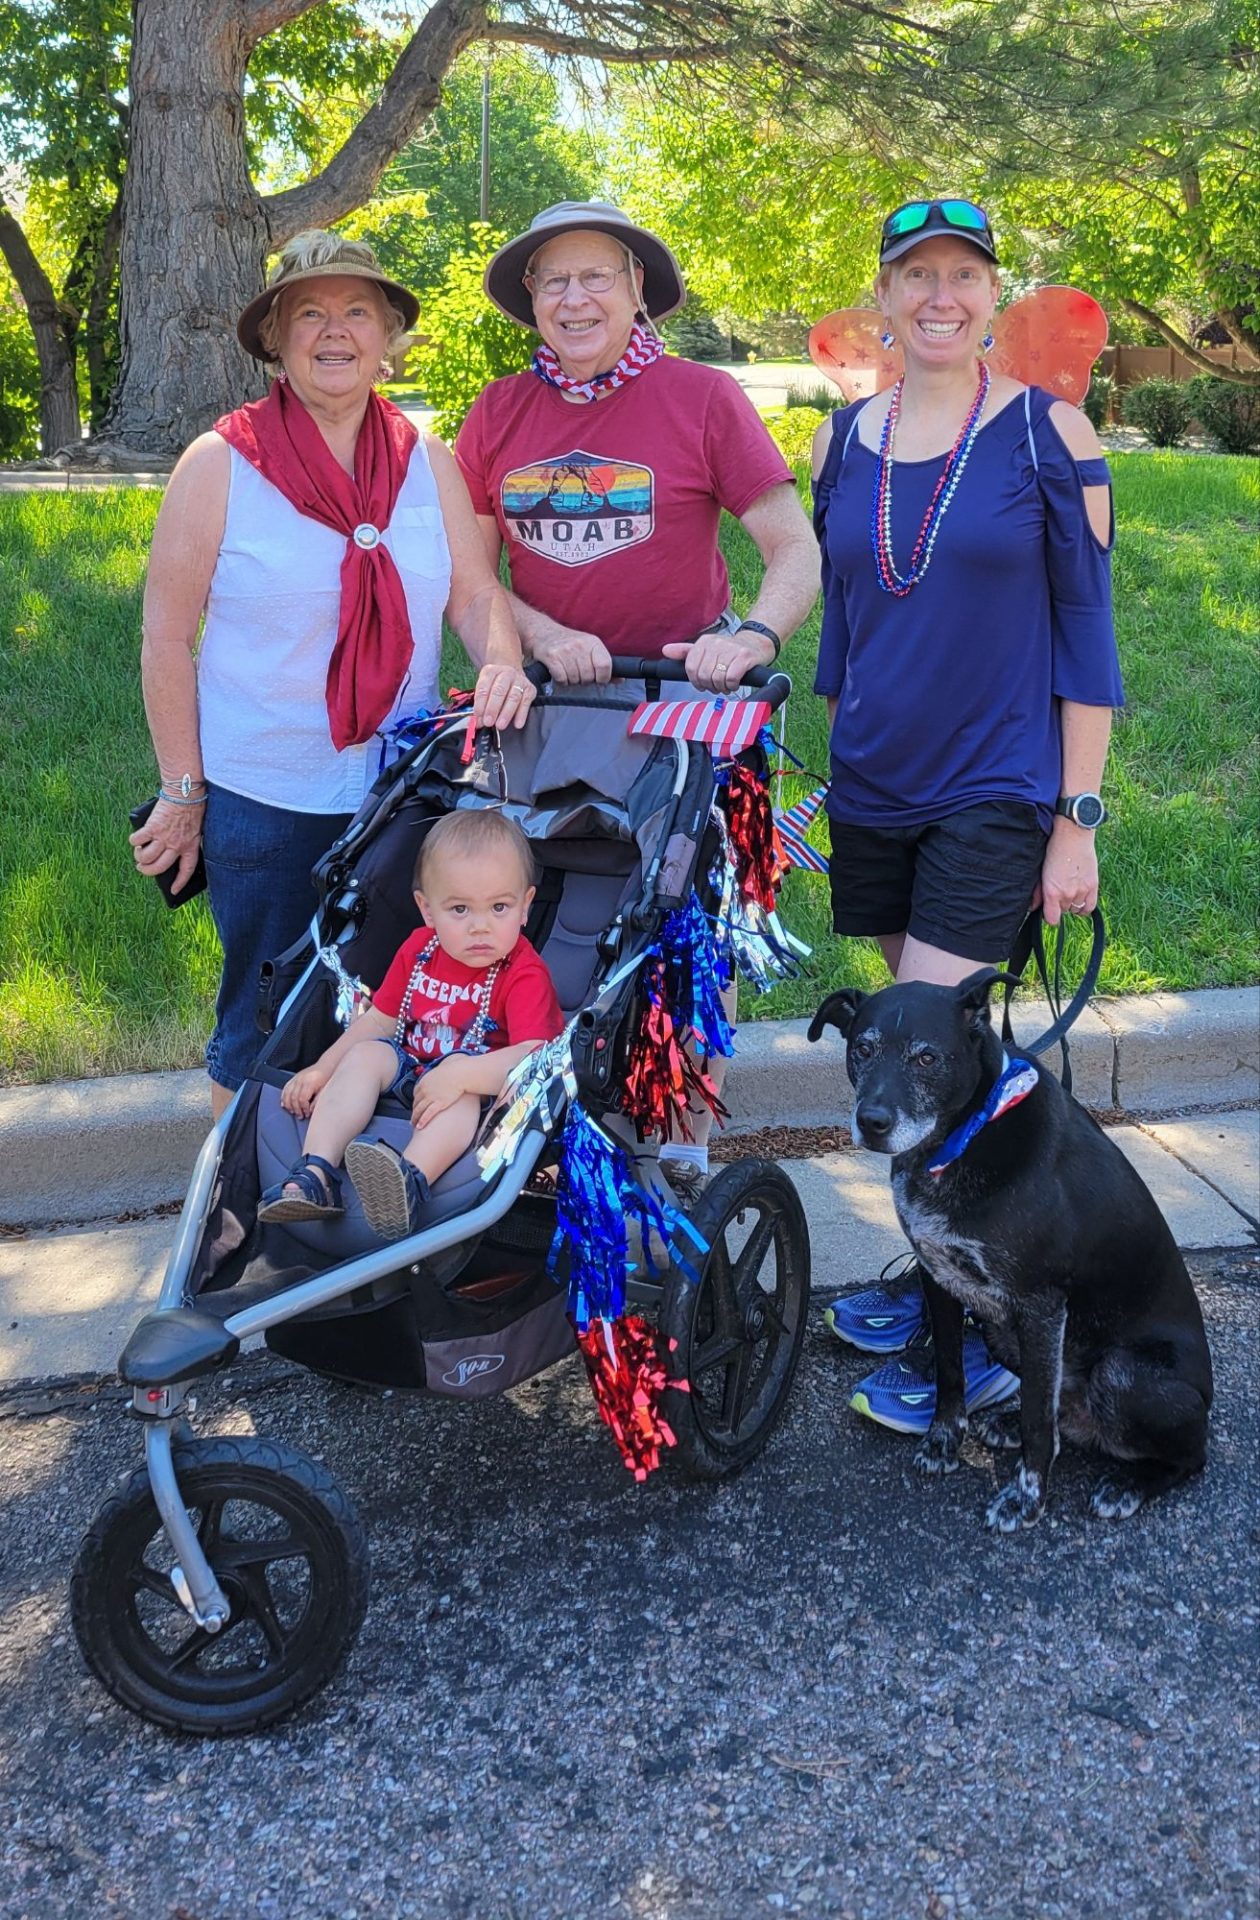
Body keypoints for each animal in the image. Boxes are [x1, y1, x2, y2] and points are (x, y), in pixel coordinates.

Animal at [808, 970, 1213, 1531]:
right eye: (862, 1049)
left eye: (926, 1058)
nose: (872, 1121)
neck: (966, 1133)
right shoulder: (940, 1279)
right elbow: (950, 1373)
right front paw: (943, 1443)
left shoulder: (1041, 1307)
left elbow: (1039, 1425)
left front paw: (1026, 1498)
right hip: (1002, 1333)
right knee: (1057, 1406)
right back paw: (1009, 1421)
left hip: (1122, 1373)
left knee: (1190, 1456)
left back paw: (1129, 1485)